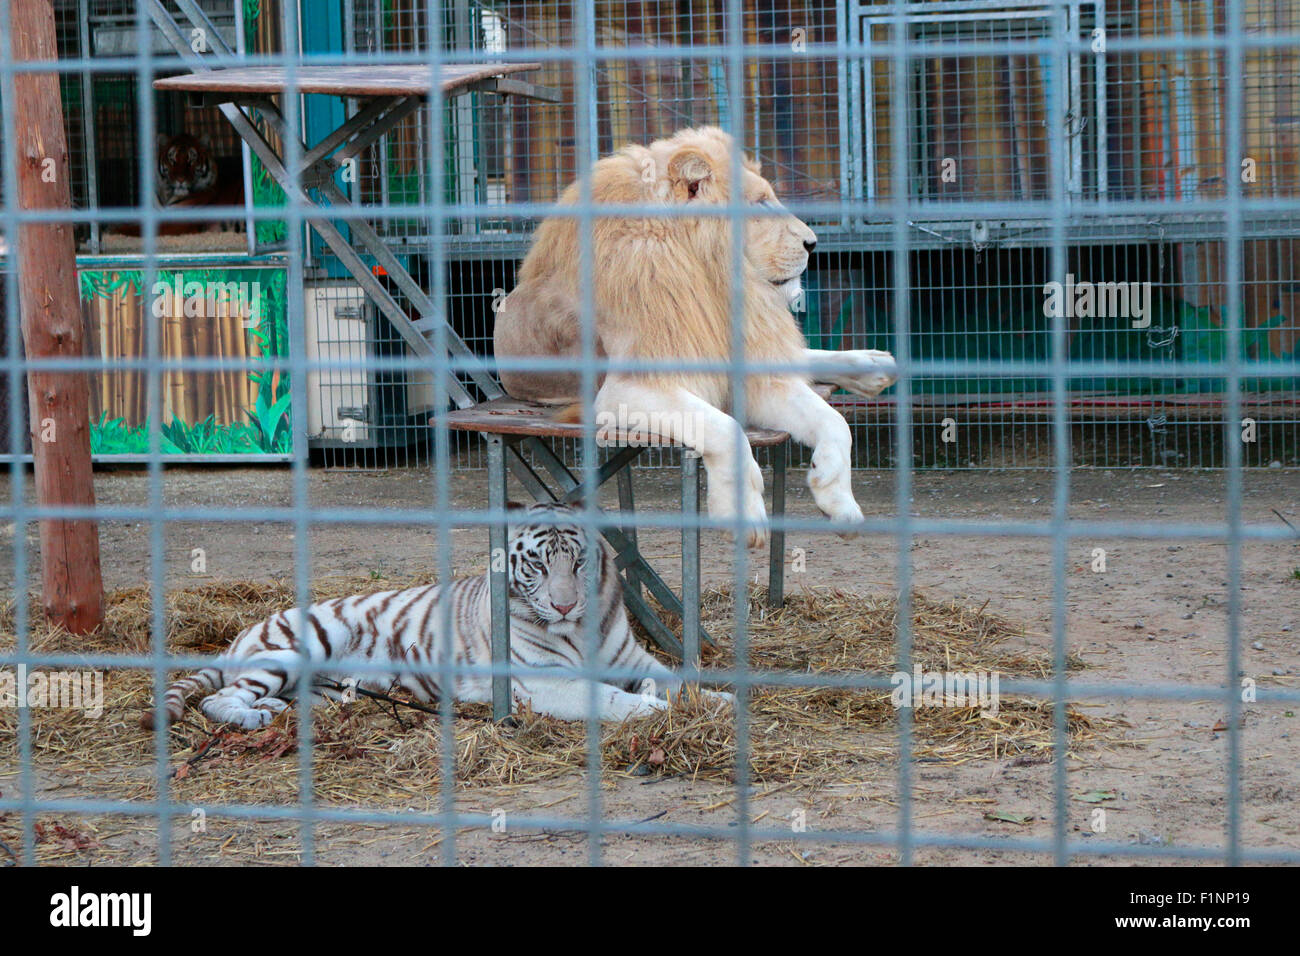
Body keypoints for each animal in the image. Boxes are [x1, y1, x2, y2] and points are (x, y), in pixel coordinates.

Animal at [140, 503, 732, 729]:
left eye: (580, 562)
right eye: (539, 564)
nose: (565, 604)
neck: (580, 630)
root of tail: (238, 634)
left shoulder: (636, 661)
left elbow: (682, 681)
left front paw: (721, 701)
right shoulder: (548, 683)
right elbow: (614, 700)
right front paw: (653, 711)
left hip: (324, 687)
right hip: (300, 643)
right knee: (221, 697)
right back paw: (253, 718)